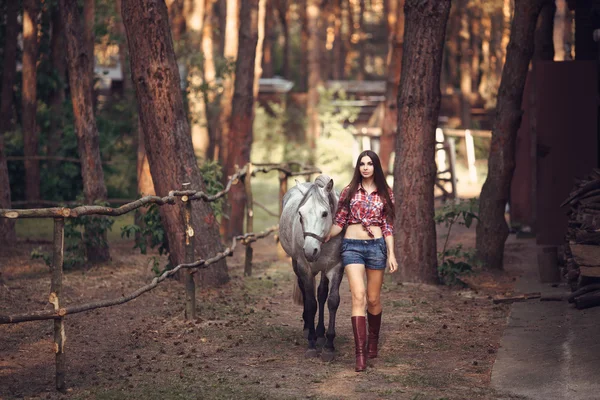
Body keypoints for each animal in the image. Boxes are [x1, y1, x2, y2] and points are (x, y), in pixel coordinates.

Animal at [280, 174, 344, 360]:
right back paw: (309, 328)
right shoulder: (305, 268)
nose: (310, 251)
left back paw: (321, 334)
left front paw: (329, 345)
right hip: (296, 264)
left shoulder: (336, 268)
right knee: (305, 291)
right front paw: (311, 344)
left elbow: (332, 301)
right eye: (300, 214)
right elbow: (310, 303)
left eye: (324, 213)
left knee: (322, 294)